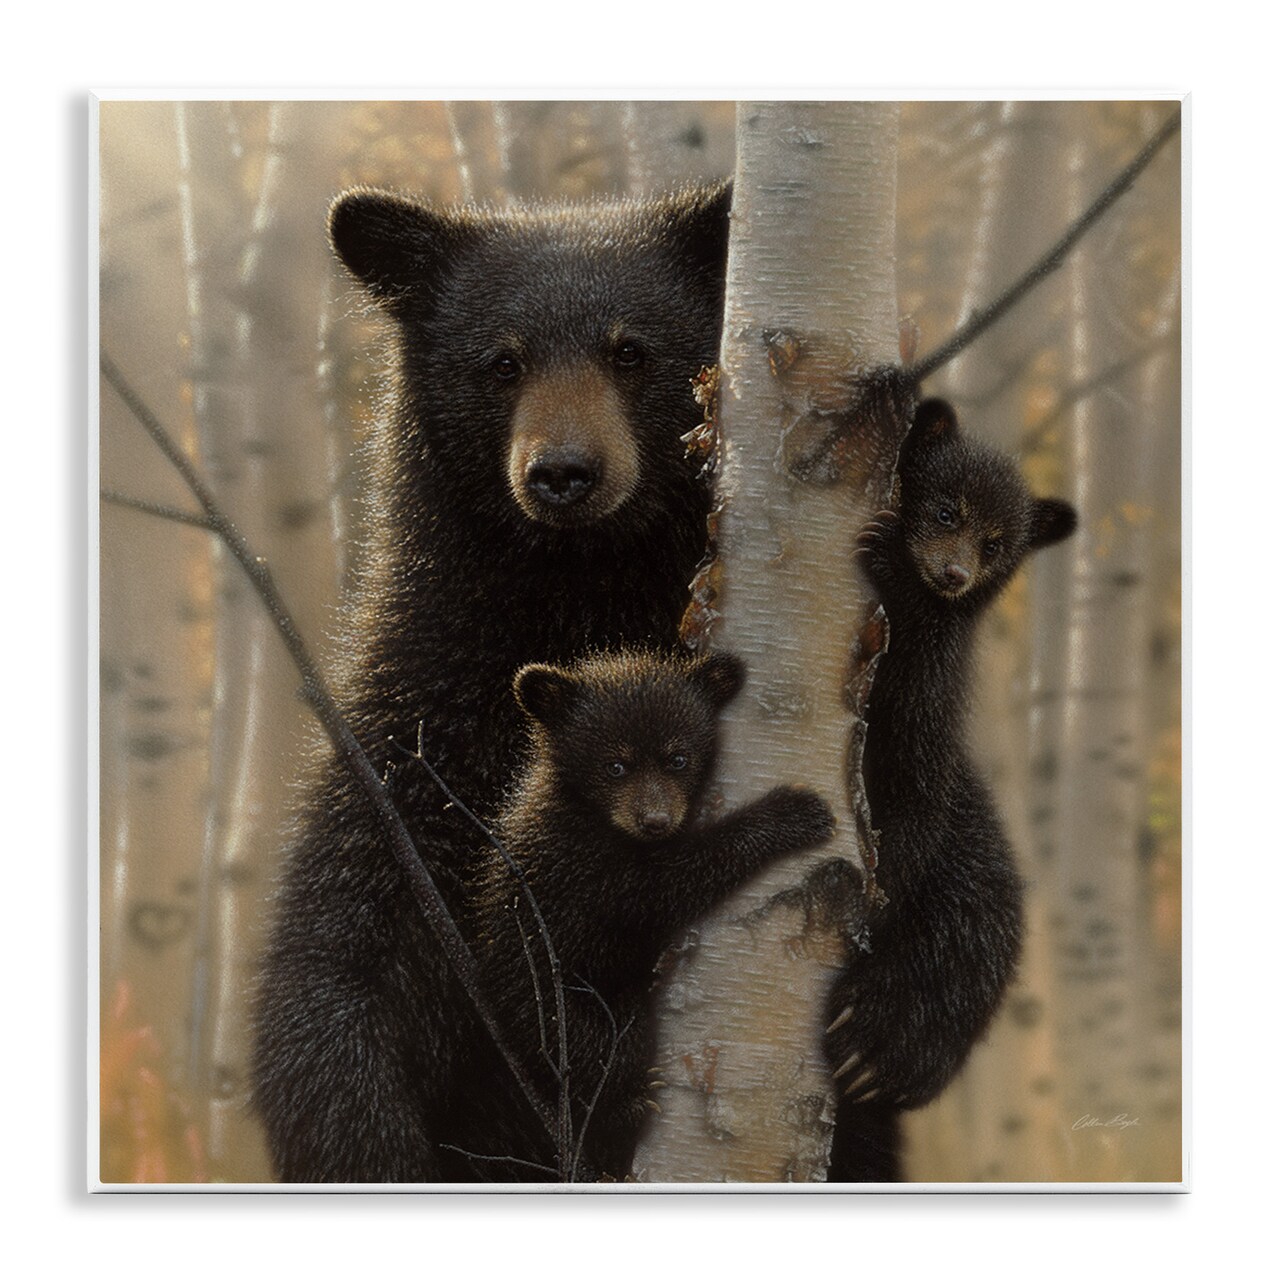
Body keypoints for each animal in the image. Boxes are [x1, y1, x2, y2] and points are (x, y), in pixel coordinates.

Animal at [251, 182, 733, 1182]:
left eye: (631, 350)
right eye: (501, 363)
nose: (564, 473)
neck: (578, 600)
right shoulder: (420, 735)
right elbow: (338, 962)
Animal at [455, 649, 836, 1181]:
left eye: (678, 758)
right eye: (615, 765)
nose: (654, 820)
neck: (590, 812)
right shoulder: (580, 863)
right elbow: (662, 887)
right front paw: (793, 812)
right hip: (549, 1002)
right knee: (598, 1049)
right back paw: (625, 1109)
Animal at [823, 398, 1077, 1182]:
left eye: (997, 542)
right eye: (943, 509)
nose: (955, 573)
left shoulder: (925, 708)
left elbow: (913, 800)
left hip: (976, 889)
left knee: (962, 948)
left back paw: (874, 1048)